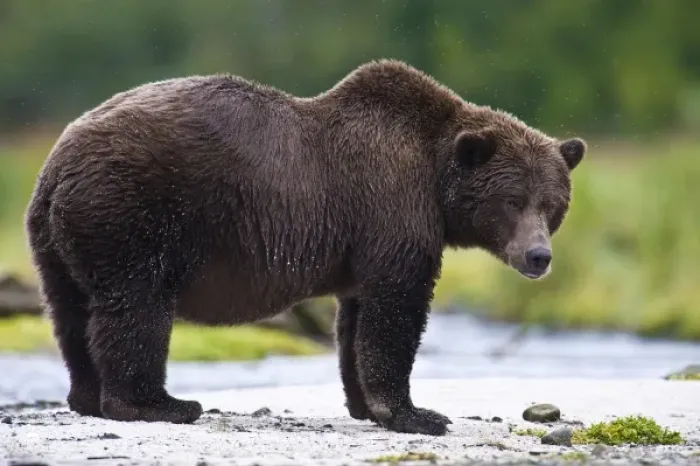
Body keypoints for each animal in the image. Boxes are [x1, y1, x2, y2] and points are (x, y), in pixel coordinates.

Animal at [25, 59, 585, 436]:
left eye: (553, 204)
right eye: (512, 200)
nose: (538, 256)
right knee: (136, 307)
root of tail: (57, 165)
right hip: (133, 212)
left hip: (56, 239)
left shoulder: (363, 246)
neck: (434, 176)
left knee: (70, 311)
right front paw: (416, 413)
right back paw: (159, 403)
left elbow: (356, 322)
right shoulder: (391, 207)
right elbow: (396, 312)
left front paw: (365, 404)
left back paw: (87, 395)